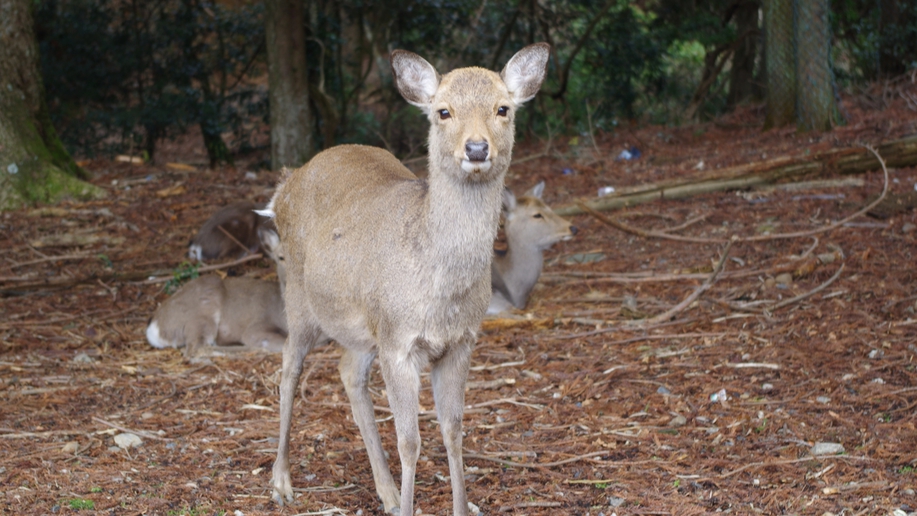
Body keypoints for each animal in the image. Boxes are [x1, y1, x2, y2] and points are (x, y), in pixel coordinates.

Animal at [262, 43, 552, 516]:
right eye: (443, 111)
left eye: (503, 108)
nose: (477, 148)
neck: (439, 291)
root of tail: (284, 184)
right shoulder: (399, 342)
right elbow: (410, 441)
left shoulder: (460, 341)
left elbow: (453, 430)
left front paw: (459, 506)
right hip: (299, 296)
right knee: (289, 366)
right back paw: (282, 482)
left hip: (365, 328)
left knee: (347, 372)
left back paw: (387, 491)